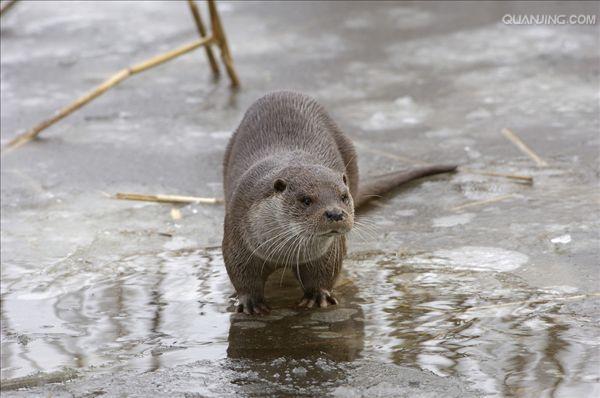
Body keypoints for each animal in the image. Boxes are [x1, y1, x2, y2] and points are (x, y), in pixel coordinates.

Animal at [224, 90, 454, 314]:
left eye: (343, 196)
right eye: (306, 200)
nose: (335, 213)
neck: (283, 255)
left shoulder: (328, 252)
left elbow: (323, 273)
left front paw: (318, 296)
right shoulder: (239, 235)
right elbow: (241, 274)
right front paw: (250, 302)